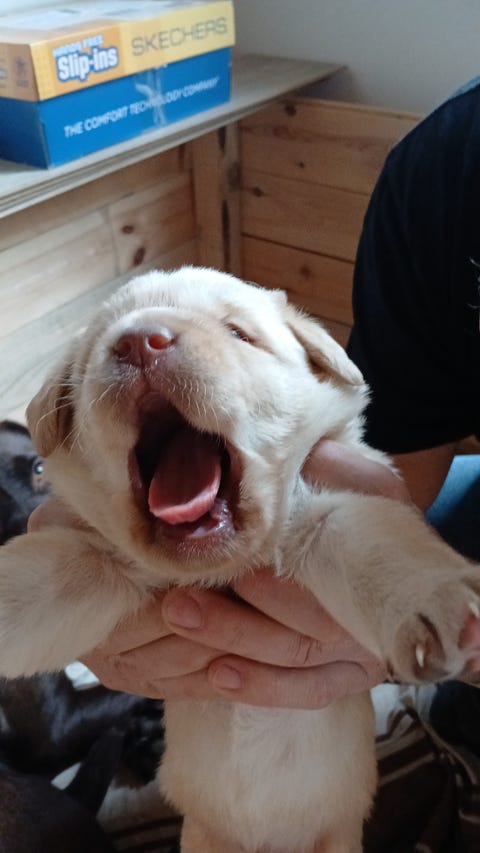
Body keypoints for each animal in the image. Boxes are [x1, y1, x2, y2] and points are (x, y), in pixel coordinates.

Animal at [0, 266, 478, 852]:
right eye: (95, 350)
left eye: (238, 333)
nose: (139, 341)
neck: (220, 571)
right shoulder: (93, 563)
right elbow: (28, 585)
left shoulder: (327, 512)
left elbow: (379, 549)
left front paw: (442, 610)